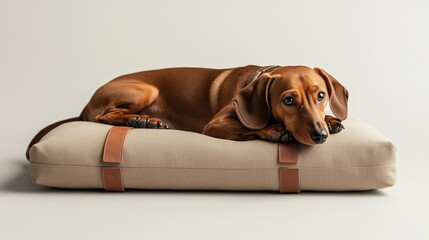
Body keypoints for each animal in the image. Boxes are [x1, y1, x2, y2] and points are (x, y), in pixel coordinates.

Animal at [25, 65, 348, 159]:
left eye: (321, 96)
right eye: (288, 100)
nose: (319, 135)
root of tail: (84, 105)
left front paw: (332, 119)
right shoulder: (214, 126)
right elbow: (251, 127)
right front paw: (273, 130)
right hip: (146, 89)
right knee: (102, 116)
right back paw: (140, 120)